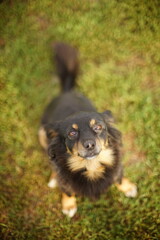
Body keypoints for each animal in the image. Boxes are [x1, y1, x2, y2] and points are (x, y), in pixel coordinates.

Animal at [38, 42, 138, 218]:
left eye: (98, 127)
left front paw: (127, 187)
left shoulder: (116, 167)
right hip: (42, 134)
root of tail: (67, 92)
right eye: (72, 133)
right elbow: (67, 189)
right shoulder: (66, 179)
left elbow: (118, 176)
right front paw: (69, 205)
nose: (90, 145)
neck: (91, 165)